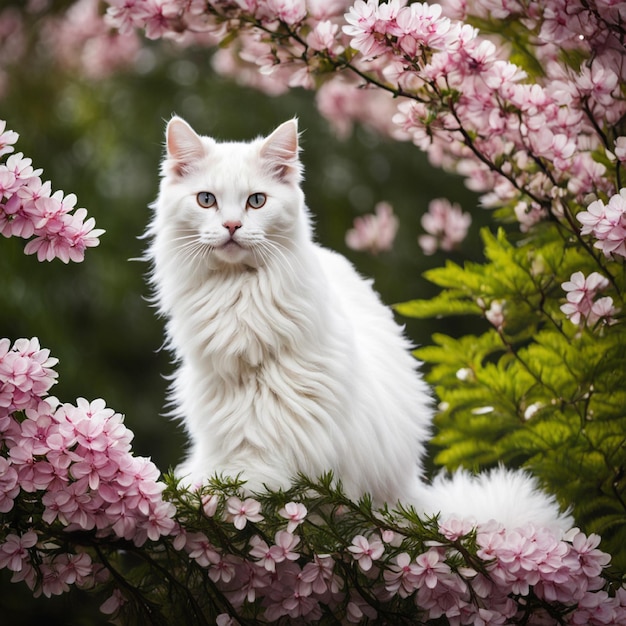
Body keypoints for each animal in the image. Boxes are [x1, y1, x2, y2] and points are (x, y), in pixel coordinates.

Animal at [146, 117, 572, 532]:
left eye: (256, 201)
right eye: (206, 200)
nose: (233, 225)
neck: (236, 295)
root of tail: (408, 491)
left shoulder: (286, 412)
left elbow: (262, 464)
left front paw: (227, 492)